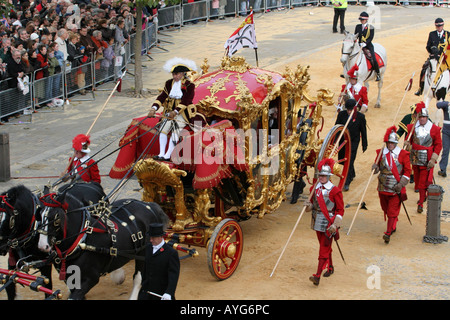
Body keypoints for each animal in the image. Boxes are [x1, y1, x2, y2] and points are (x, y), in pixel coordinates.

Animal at [38, 188, 169, 300]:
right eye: (39, 214)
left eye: (57, 217)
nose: (42, 246)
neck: (82, 239)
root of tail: (149, 205)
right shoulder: (69, 278)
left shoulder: (91, 278)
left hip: (143, 252)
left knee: (138, 278)